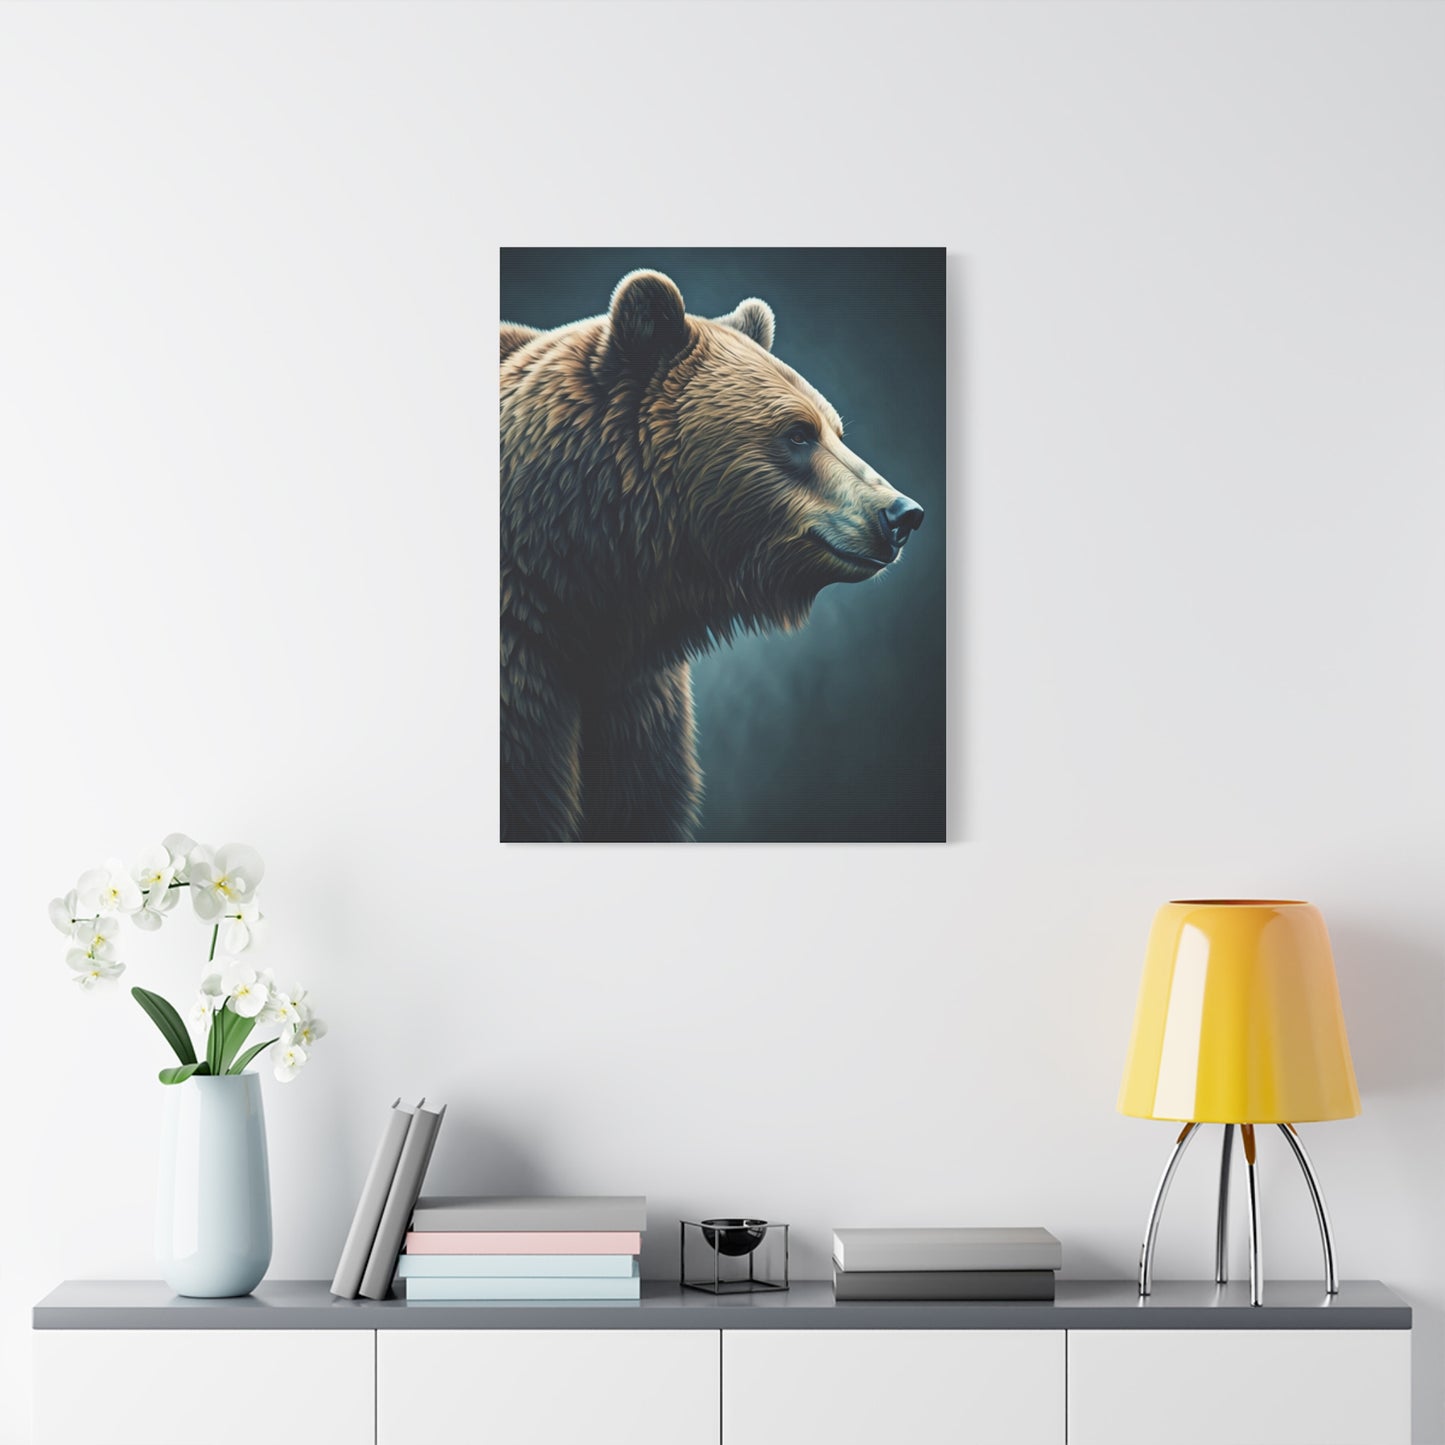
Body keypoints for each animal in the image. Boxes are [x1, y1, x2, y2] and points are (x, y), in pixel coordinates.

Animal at [500, 269, 924, 842]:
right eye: (798, 433)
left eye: (835, 430)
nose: (902, 514)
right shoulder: (523, 672)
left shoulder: (636, 695)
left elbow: (642, 803)